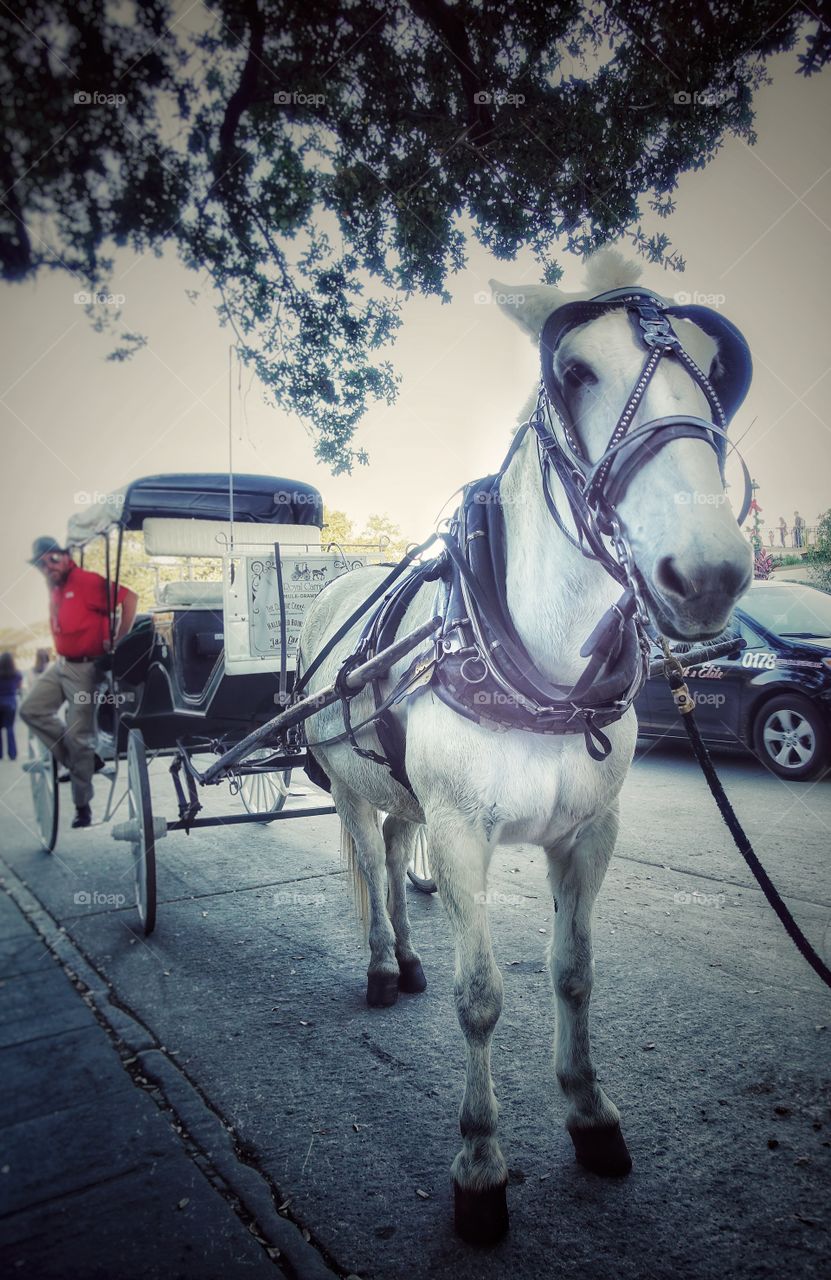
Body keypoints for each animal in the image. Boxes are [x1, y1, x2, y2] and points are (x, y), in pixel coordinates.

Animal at [297, 248, 753, 1245]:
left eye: (717, 371)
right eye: (573, 371)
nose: (706, 574)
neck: (537, 667)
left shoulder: (589, 834)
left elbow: (572, 973)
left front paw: (588, 1114)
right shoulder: (463, 834)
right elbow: (480, 997)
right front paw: (479, 1165)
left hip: (404, 792)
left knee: (395, 847)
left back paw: (408, 955)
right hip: (347, 787)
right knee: (369, 861)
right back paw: (383, 963)